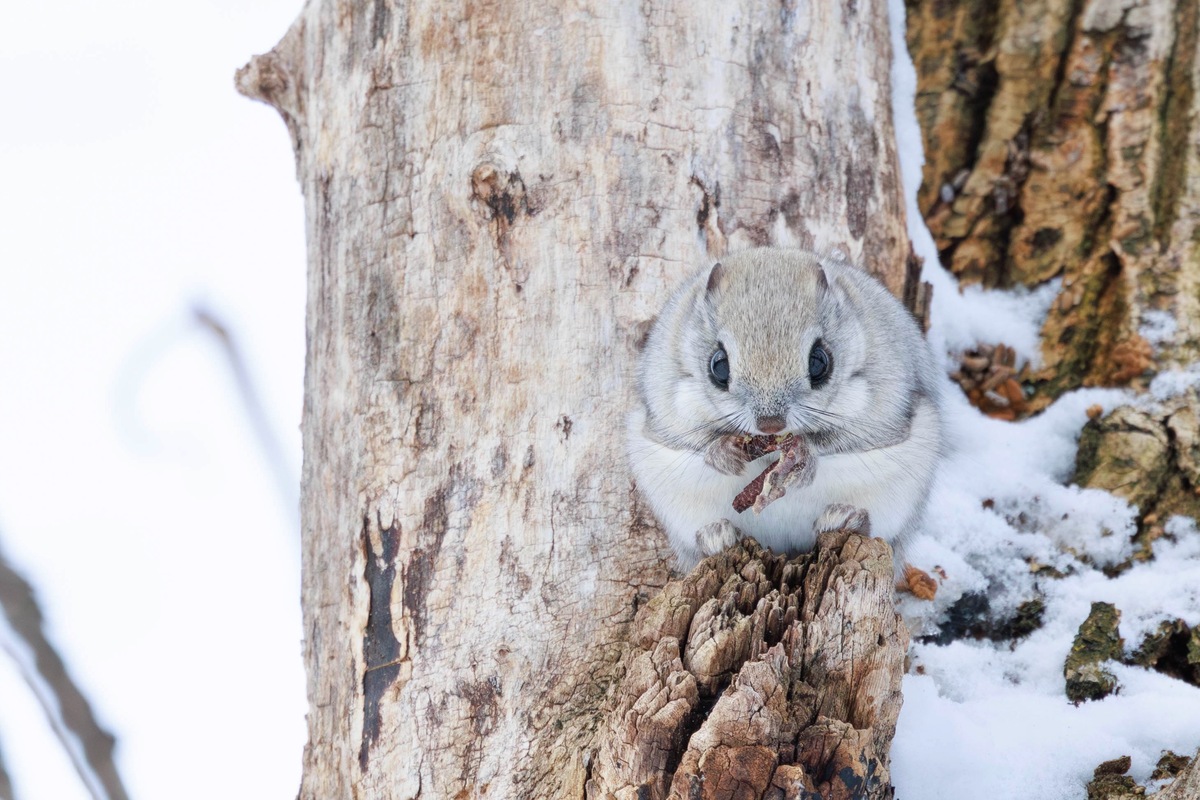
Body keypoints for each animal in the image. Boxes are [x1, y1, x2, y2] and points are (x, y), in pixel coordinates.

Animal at [627, 248, 944, 571]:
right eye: (718, 365)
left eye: (819, 361)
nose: (770, 424)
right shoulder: (666, 406)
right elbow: (695, 441)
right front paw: (723, 452)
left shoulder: (881, 408)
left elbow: (837, 442)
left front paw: (803, 457)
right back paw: (716, 536)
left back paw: (848, 518)